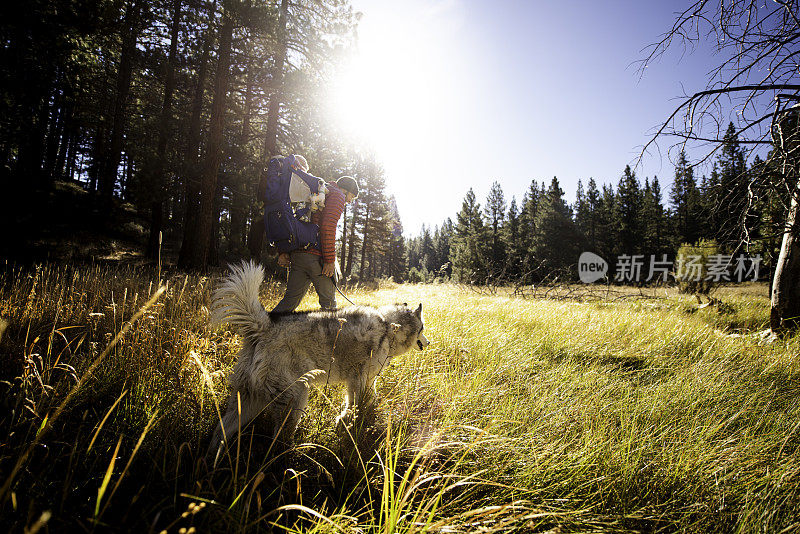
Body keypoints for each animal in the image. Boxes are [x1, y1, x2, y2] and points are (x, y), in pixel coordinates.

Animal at [209, 262, 428, 460]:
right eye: (423, 328)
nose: (428, 342)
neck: (389, 327)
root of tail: (265, 326)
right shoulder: (357, 378)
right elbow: (354, 403)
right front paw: (345, 421)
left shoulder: (367, 379)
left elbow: (369, 398)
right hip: (296, 395)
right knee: (279, 437)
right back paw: (292, 454)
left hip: (247, 400)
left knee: (221, 430)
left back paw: (213, 459)